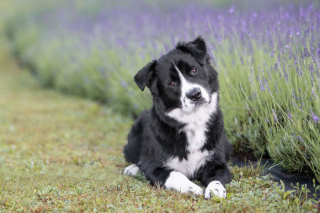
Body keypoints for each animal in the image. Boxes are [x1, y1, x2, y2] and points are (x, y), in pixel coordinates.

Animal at [124, 36, 231, 198]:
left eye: (194, 70)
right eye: (172, 83)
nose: (195, 95)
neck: (193, 122)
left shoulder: (218, 163)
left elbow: (218, 178)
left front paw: (215, 190)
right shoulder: (154, 167)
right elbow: (175, 174)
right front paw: (192, 188)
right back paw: (132, 168)